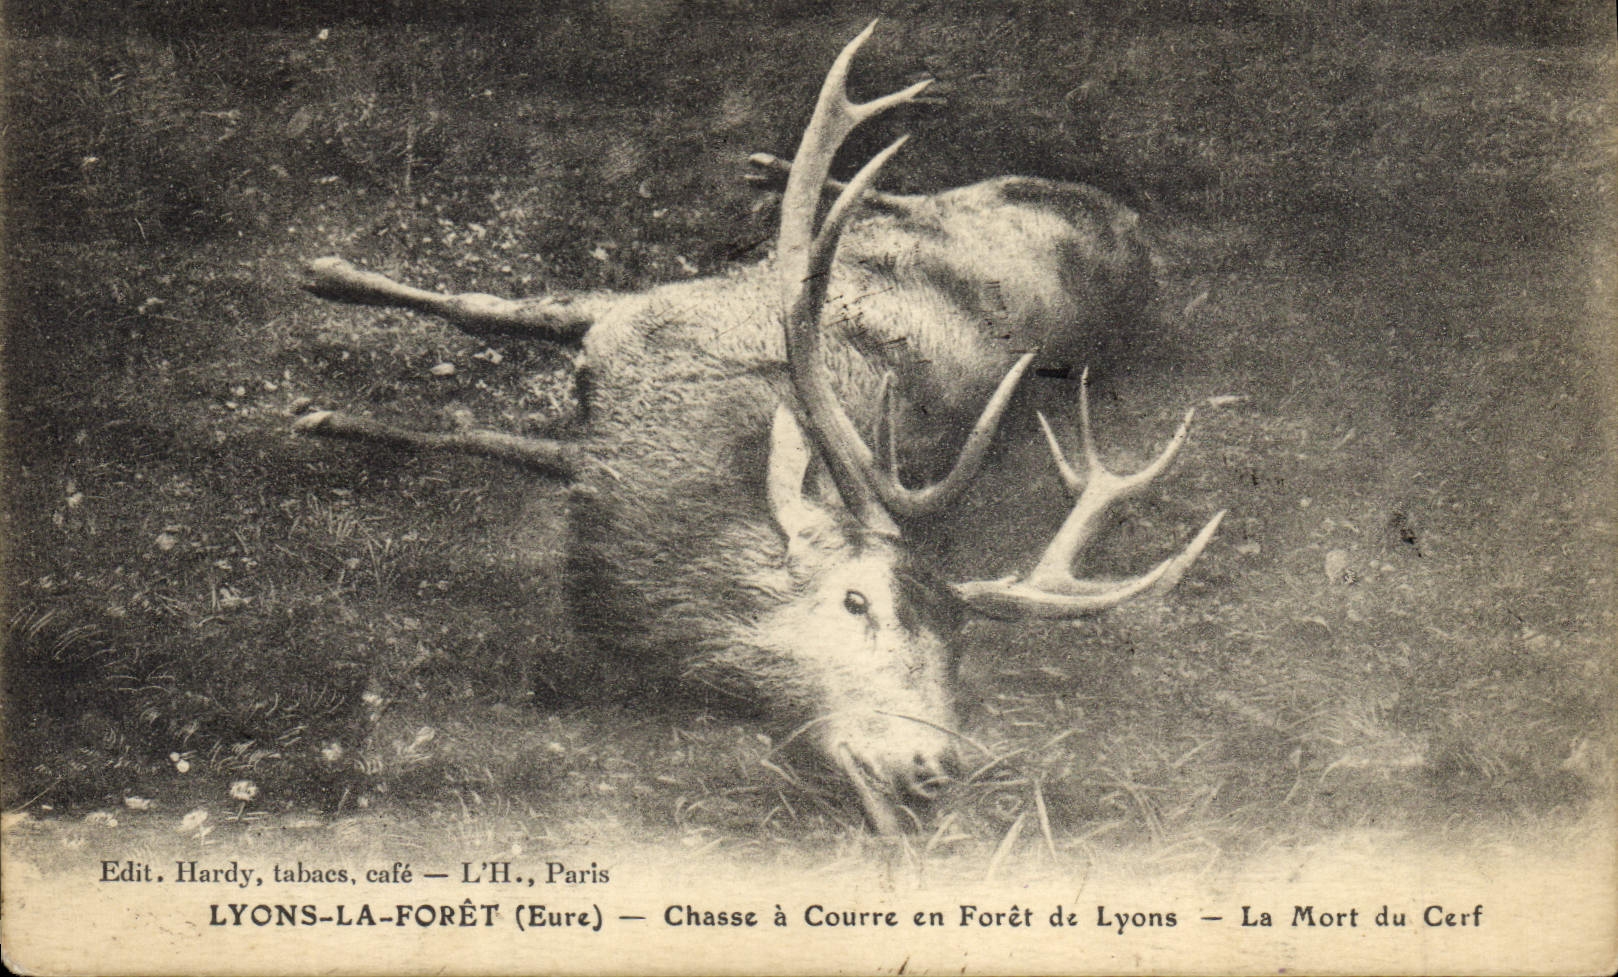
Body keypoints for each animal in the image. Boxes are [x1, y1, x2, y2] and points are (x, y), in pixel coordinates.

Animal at [293, 22, 1225, 834]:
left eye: (959, 647)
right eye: (857, 599)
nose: (934, 768)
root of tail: (1134, 227)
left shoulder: (595, 447)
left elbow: (477, 432)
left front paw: (333, 407)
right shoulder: (639, 317)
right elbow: (495, 311)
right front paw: (327, 287)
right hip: (963, 199)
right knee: (895, 189)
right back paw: (789, 168)